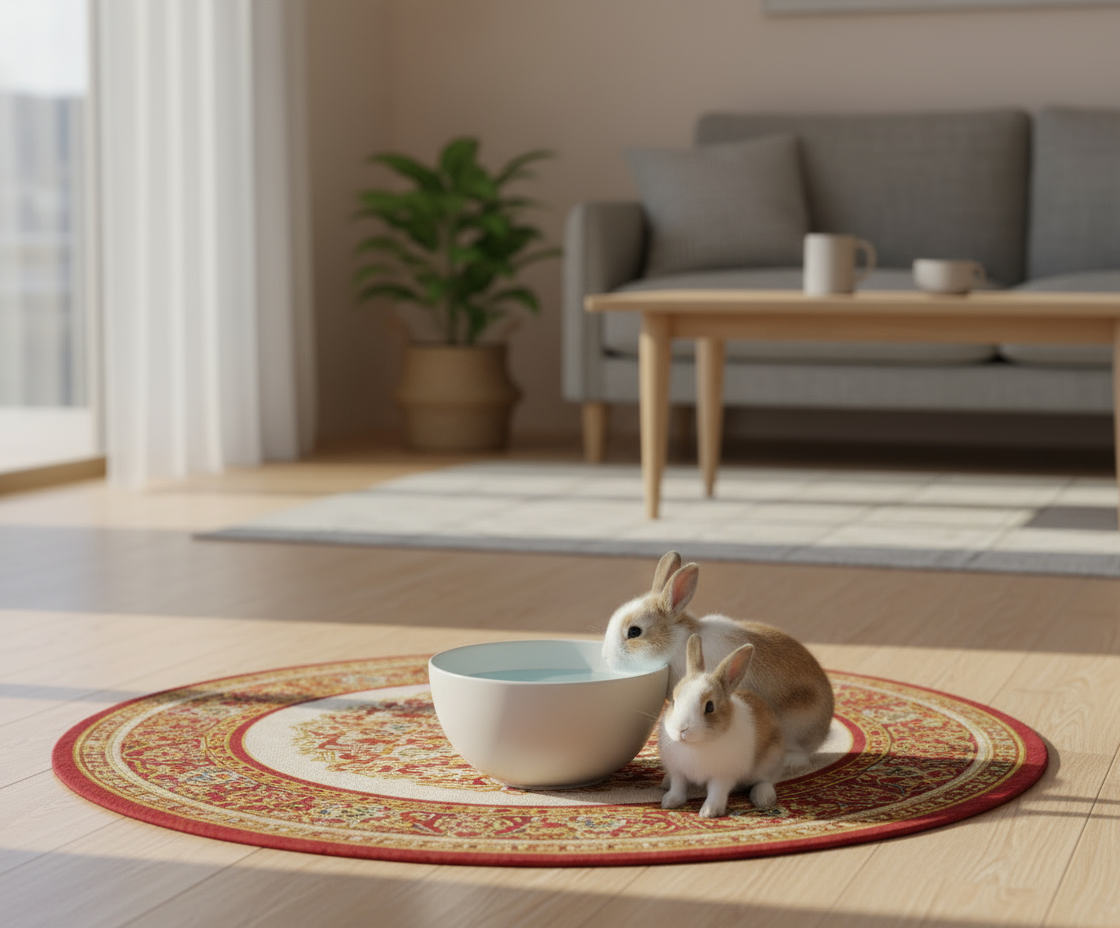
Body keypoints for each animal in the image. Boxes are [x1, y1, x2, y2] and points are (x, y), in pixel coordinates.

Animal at [659, 634, 785, 817]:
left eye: (709, 707)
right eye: (674, 702)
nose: (681, 729)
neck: (695, 745)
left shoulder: (723, 776)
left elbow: (716, 792)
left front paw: (708, 812)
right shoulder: (678, 771)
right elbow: (678, 786)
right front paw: (669, 802)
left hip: (771, 759)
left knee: (766, 780)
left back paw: (763, 799)